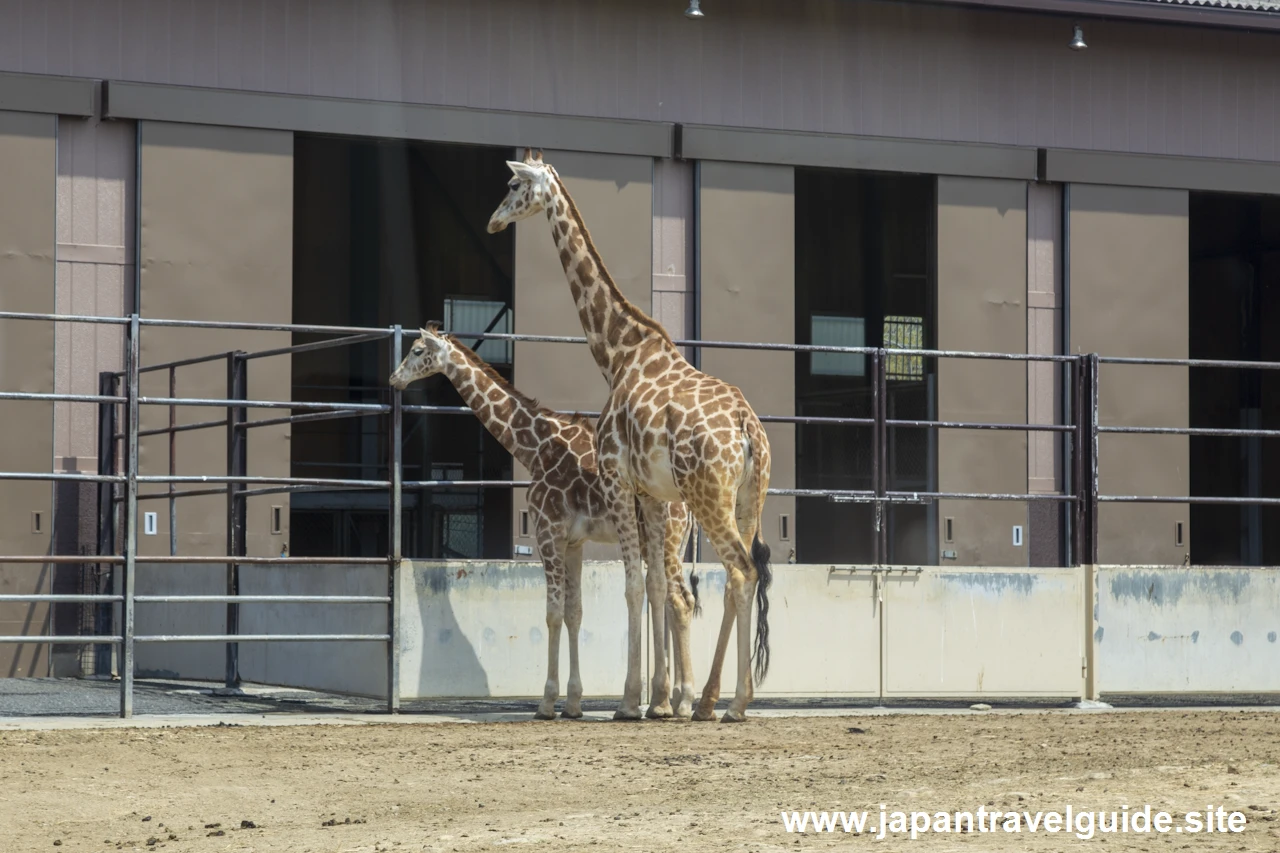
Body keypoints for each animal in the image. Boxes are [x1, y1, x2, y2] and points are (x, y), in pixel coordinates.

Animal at [386, 325, 701, 717]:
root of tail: (687, 498)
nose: (394, 379)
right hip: (663, 539)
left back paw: (682, 700)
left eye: (416, 350)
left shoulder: (547, 533)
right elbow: (574, 612)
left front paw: (547, 701)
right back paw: (665, 701)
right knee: (666, 596)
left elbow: (552, 613)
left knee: (681, 600)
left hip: (669, 535)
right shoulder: (573, 542)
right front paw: (574, 703)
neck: (534, 448)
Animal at [486, 151, 768, 717]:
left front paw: (629, 700)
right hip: (751, 496)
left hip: (709, 495)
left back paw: (731, 703)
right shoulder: (653, 493)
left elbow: (633, 587)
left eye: (513, 185)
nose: (494, 222)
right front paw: (658, 700)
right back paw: (708, 699)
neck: (617, 352)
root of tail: (747, 428)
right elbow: (656, 586)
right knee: (737, 575)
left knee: (741, 571)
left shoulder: (616, 475)